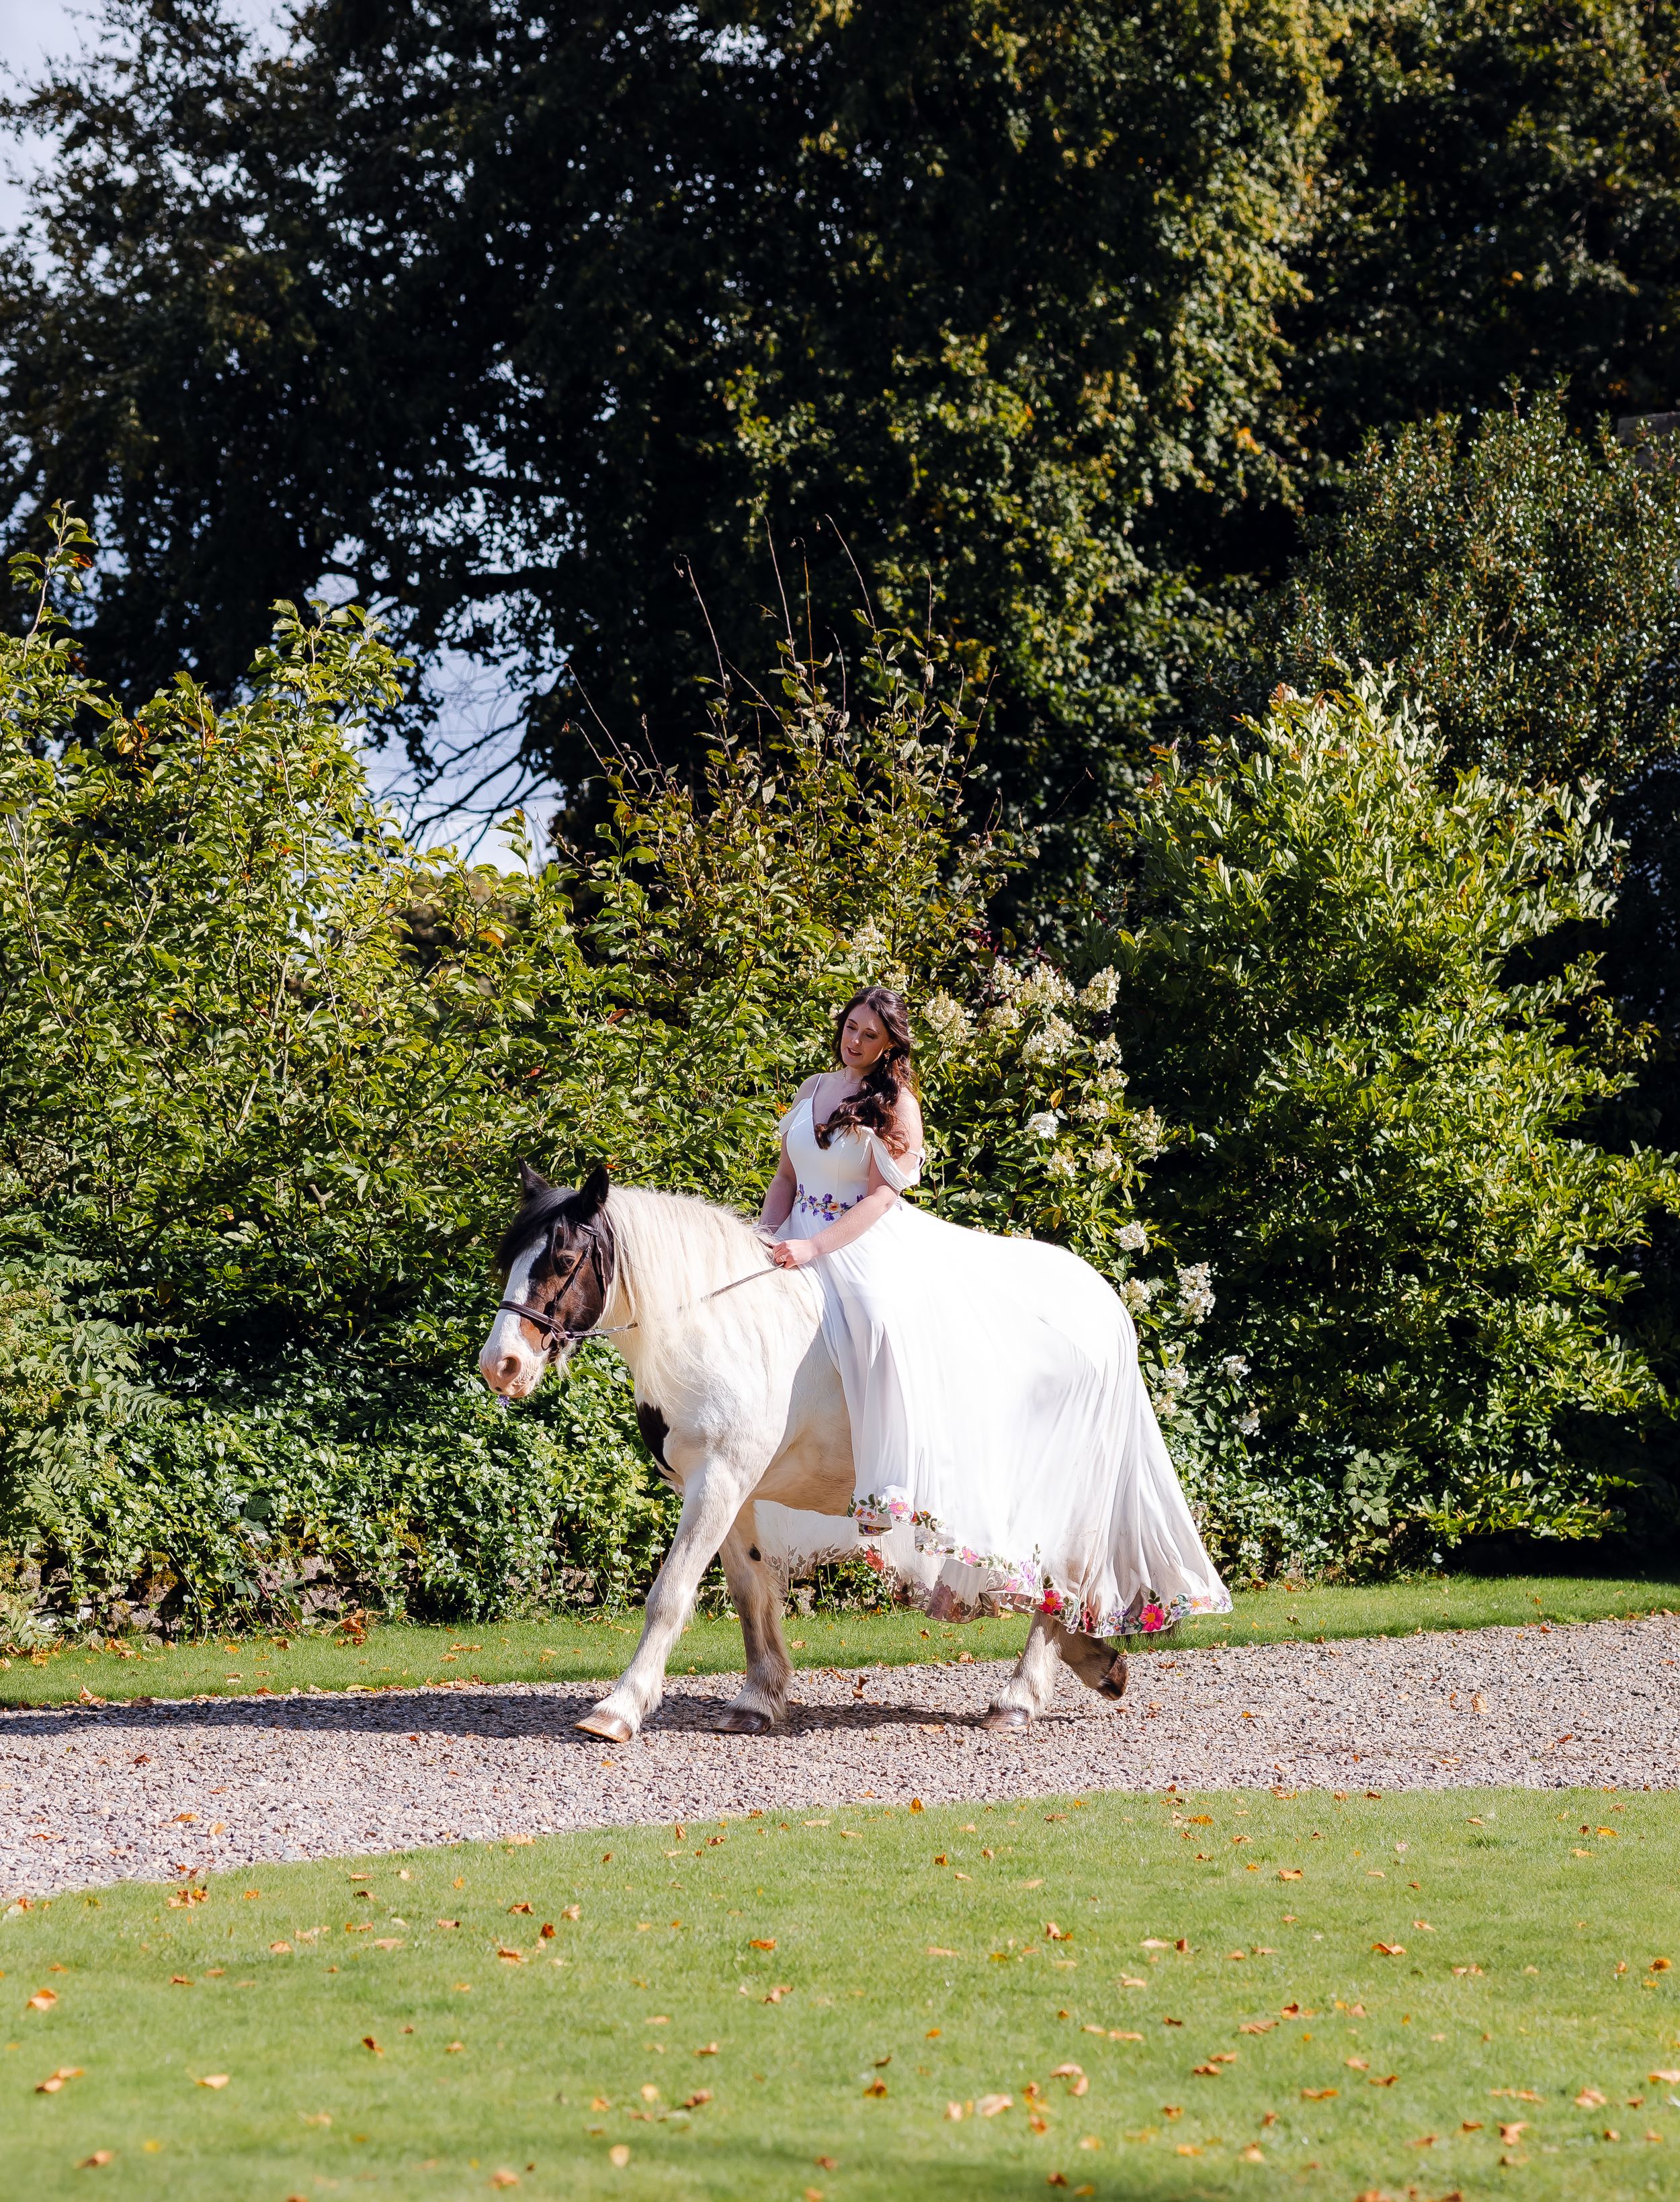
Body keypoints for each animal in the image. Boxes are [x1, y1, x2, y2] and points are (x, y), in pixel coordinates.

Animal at [477, 1164, 1130, 1743]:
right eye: (509, 1260)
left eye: (564, 1261)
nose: (499, 1365)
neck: (722, 1328)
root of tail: (1101, 1302)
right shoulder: (732, 1490)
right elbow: (750, 1592)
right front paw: (758, 1699)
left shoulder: (719, 1481)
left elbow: (669, 1594)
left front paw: (619, 1707)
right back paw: (1098, 1660)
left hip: (1061, 1499)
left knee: (1059, 1585)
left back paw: (1019, 1697)